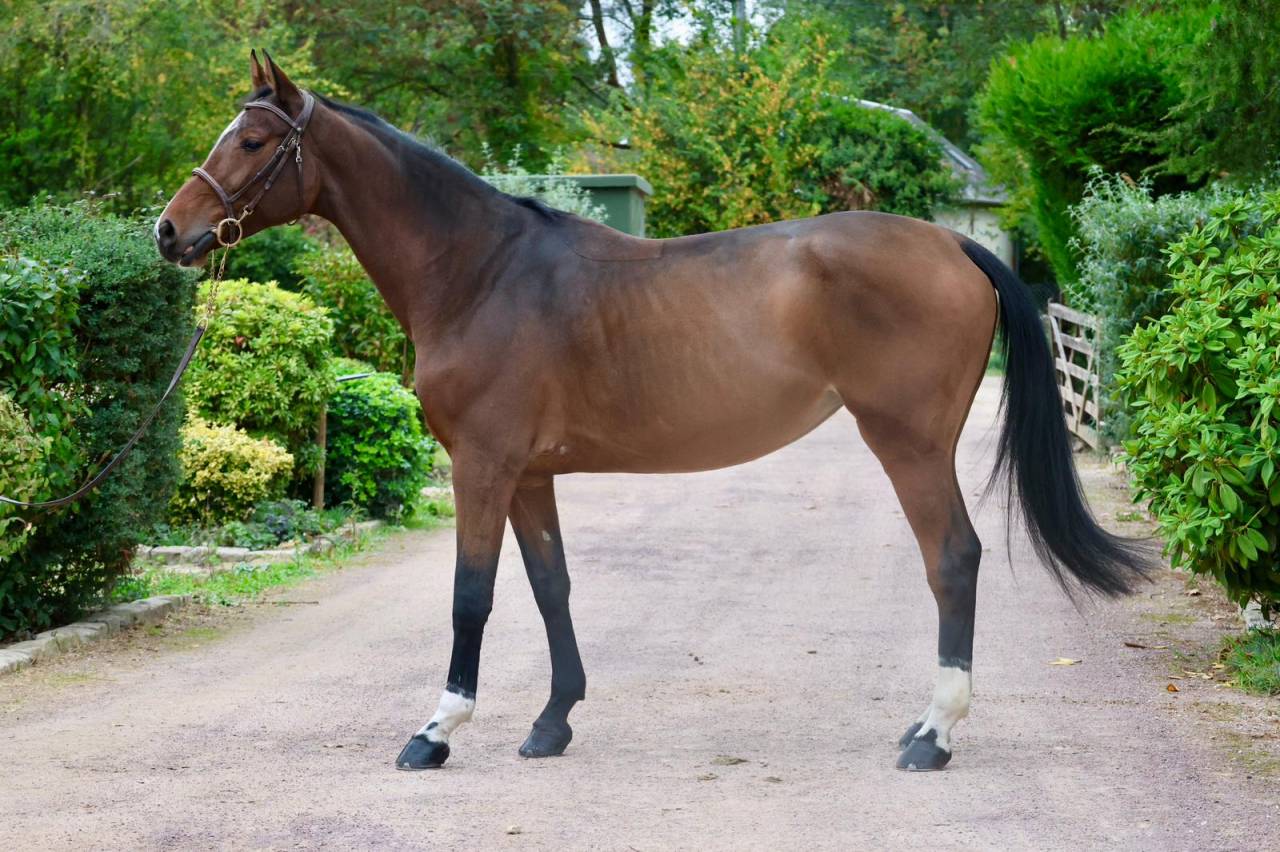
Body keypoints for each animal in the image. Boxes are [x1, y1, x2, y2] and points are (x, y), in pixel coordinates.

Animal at [155, 52, 1148, 772]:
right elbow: (550, 587)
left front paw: (436, 732)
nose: (169, 231)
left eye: (254, 141)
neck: (480, 272)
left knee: (953, 560)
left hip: (907, 445)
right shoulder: (529, 474)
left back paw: (932, 737)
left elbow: (472, 595)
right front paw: (552, 722)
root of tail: (952, 242)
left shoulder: (482, 465)